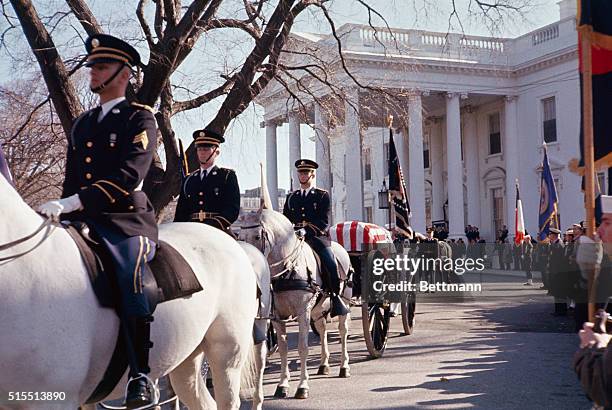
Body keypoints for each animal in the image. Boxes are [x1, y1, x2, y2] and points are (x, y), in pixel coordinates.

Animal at [237, 207, 352, 398]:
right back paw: (324, 364)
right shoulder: (277, 316)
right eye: (239, 236)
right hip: (317, 309)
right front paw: (282, 385)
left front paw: (302, 386)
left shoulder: (303, 311)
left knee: (343, 331)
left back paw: (344, 366)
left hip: (343, 301)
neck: (288, 268)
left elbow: (302, 347)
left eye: (257, 236)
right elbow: (283, 349)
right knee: (322, 330)